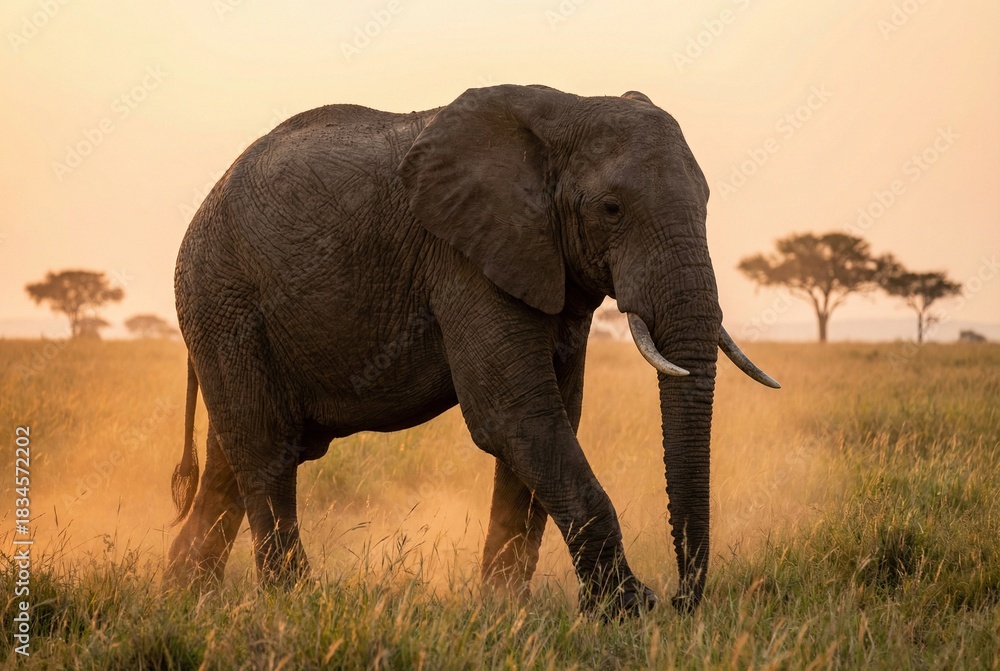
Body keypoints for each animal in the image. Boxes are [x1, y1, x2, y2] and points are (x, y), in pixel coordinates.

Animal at [166, 84, 779, 615]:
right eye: (611, 209)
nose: (681, 601)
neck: (563, 111)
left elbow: (549, 421)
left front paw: (504, 611)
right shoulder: (463, 258)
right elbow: (516, 417)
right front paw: (627, 611)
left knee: (229, 466)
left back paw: (187, 600)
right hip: (223, 302)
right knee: (265, 450)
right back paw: (292, 605)